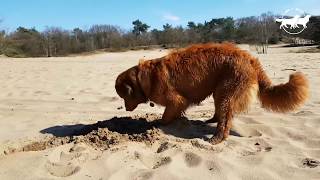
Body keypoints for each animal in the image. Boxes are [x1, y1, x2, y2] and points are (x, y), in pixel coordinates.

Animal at [114, 42, 308, 145]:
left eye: (123, 96)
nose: (126, 109)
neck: (144, 78)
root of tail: (250, 59)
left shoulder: (176, 100)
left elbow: (165, 116)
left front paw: (157, 125)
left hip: (227, 94)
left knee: (225, 121)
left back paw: (217, 137)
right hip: (219, 92)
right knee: (220, 114)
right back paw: (212, 120)